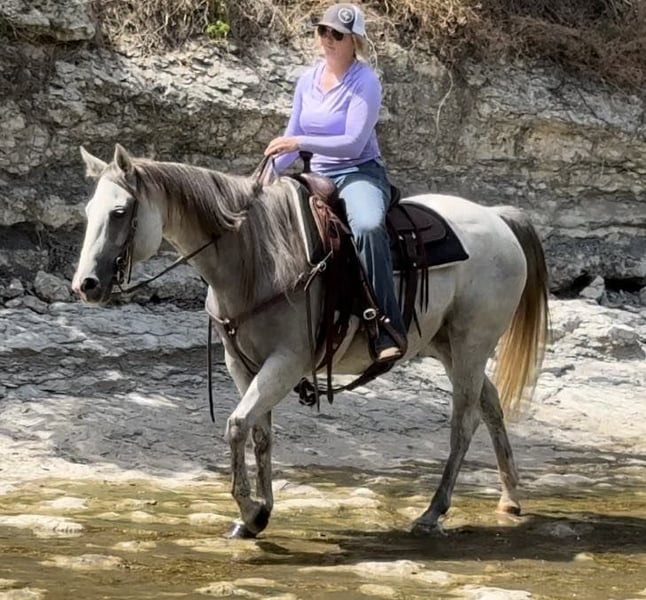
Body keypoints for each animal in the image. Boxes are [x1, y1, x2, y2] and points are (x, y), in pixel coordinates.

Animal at [72, 144, 549, 538]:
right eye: (89, 211)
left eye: (120, 211)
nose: (86, 285)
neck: (255, 257)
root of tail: (496, 218)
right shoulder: (242, 365)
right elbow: (259, 432)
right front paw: (259, 514)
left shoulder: (287, 362)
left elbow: (237, 426)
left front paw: (250, 511)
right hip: (448, 346)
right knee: (490, 405)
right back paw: (510, 498)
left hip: (471, 344)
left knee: (463, 423)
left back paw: (433, 512)